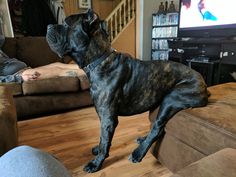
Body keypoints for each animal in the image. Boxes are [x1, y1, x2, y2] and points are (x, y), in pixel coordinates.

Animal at [46, 9, 208, 173]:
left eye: (66, 24)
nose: (48, 26)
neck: (99, 60)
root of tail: (202, 81)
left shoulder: (108, 118)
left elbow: (104, 141)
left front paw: (96, 163)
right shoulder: (104, 116)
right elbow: (103, 139)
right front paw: (98, 150)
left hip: (172, 99)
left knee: (157, 128)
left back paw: (138, 153)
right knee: (159, 128)